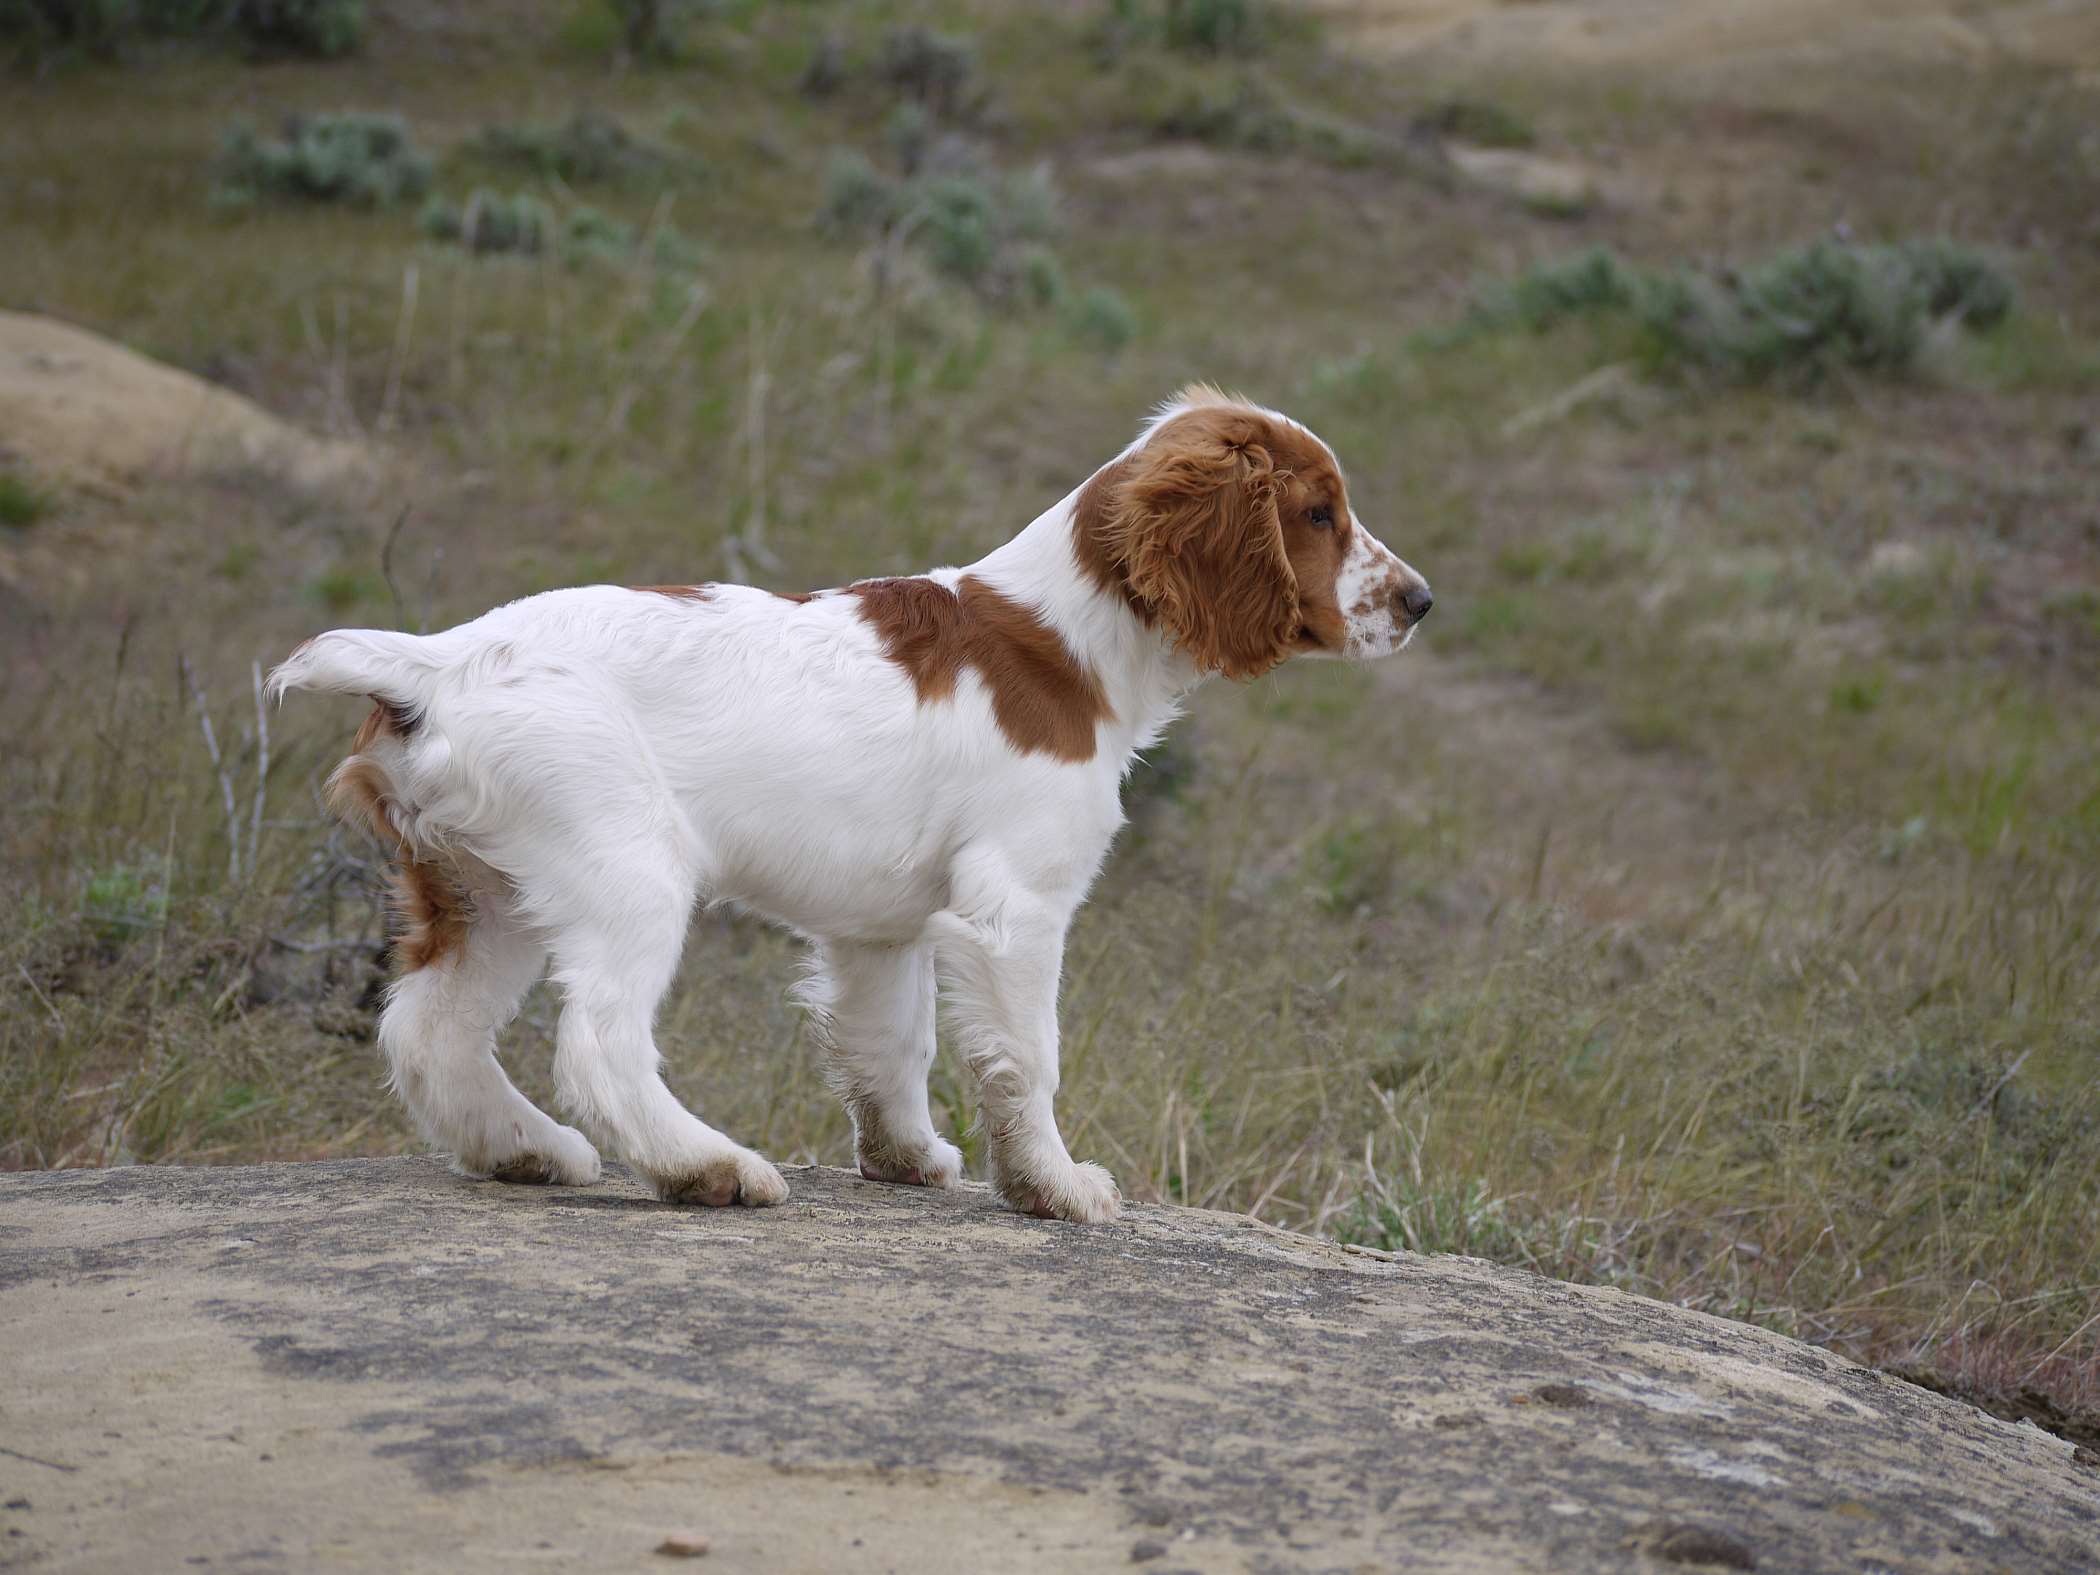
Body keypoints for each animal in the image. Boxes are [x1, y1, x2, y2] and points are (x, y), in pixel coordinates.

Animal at [270, 388, 1427, 1226]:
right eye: (1318, 514)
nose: (1420, 601)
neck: (1066, 639)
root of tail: (440, 660)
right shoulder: (1015, 909)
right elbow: (1028, 1057)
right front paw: (1054, 1187)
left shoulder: (882, 928)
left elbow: (888, 1046)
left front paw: (907, 1159)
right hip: (624, 867)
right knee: (597, 1042)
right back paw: (706, 1166)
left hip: (488, 887)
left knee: (431, 1029)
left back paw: (527, 1151)